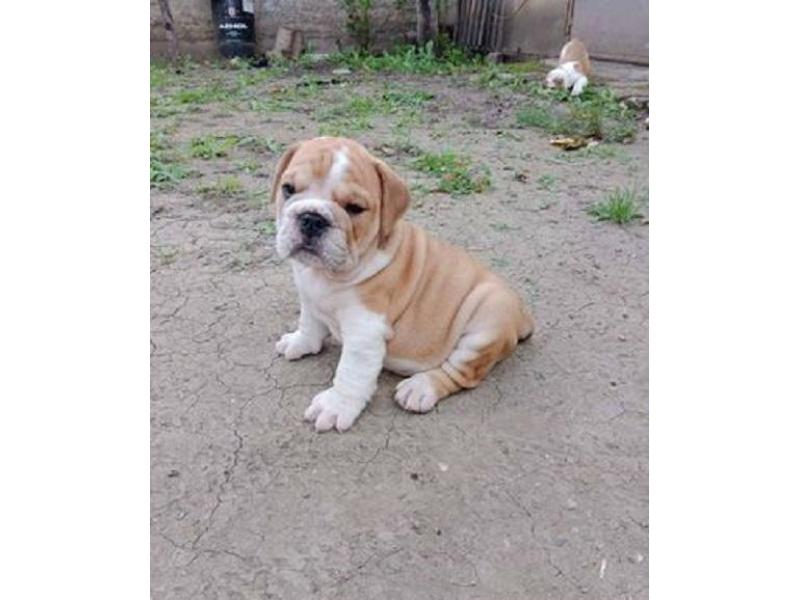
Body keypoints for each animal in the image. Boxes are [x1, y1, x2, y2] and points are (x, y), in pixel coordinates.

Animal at [273, 137, 534, 432]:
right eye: (287, 189)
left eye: (355, 208)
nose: (312, 218)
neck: (325, 275)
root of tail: (522, 315)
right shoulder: (309, 299)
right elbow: (309, 323)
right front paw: (299, 342)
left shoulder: (365, 331)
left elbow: (351, 371)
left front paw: (335, 405)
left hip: (487, 323)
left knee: (462, 372)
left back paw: (420, 388)